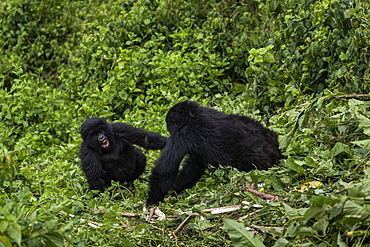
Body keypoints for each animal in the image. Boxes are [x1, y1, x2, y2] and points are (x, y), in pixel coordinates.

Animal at [147, 100, 284, 205]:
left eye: (168, 122)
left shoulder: (180, 134)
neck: (192, 116)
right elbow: (193, 166)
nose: (166, 126)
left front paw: (152, 201)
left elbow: (163, 172)